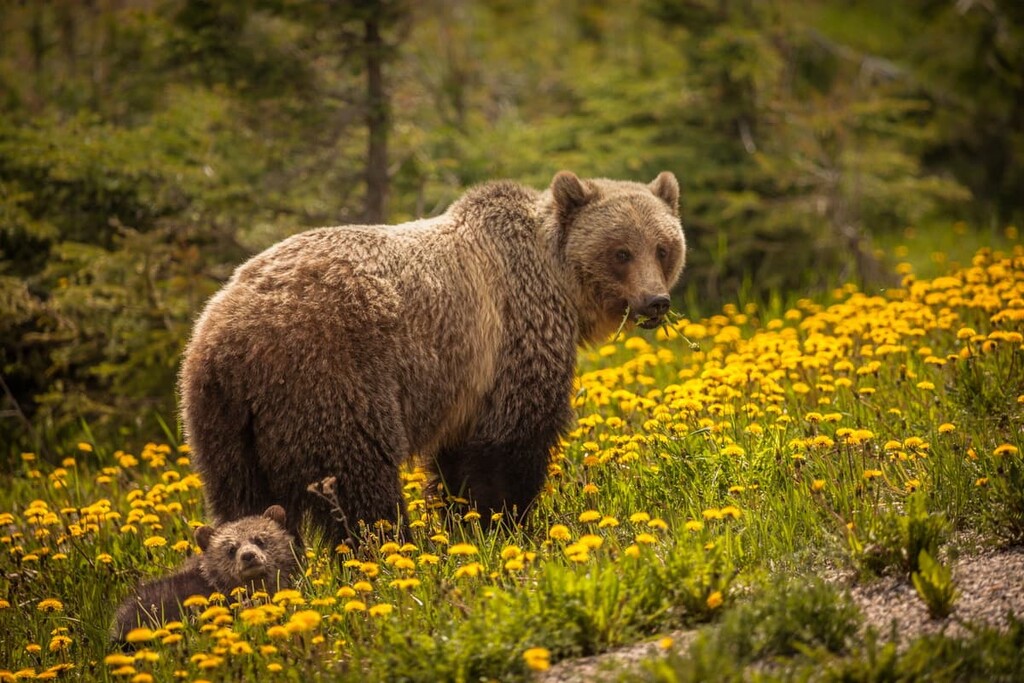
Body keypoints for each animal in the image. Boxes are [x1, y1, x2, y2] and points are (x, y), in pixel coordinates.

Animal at [179, 171, 686, 546]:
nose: (655, 301)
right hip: (327, 378)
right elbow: (512, 442)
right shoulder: (512, 336)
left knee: (241, 500)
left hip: (222, 422)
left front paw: (464, 523)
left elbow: (458, 461)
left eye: (663, 247)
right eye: (621, 251)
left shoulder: (466, 382)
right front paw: (507, 525)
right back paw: (391, 549)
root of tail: (227, 338)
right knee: (359, 480)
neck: (558, 281)